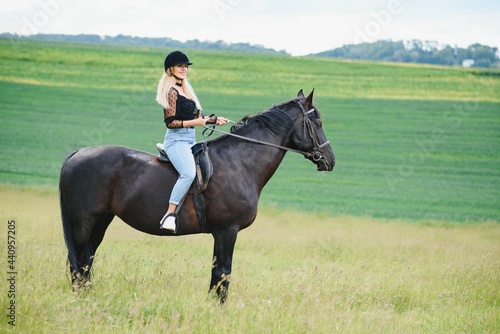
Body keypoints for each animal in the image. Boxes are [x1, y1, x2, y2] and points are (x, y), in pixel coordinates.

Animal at [58, 89, 334, 302]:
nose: (330, 160)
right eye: (318, 123)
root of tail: (76, 154)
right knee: (78, 263)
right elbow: (223, 273)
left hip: (101, 221)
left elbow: (216, 275)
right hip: (83, 223)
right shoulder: (227, 231)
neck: (240, 162)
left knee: (86, 262)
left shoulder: (221, 234)